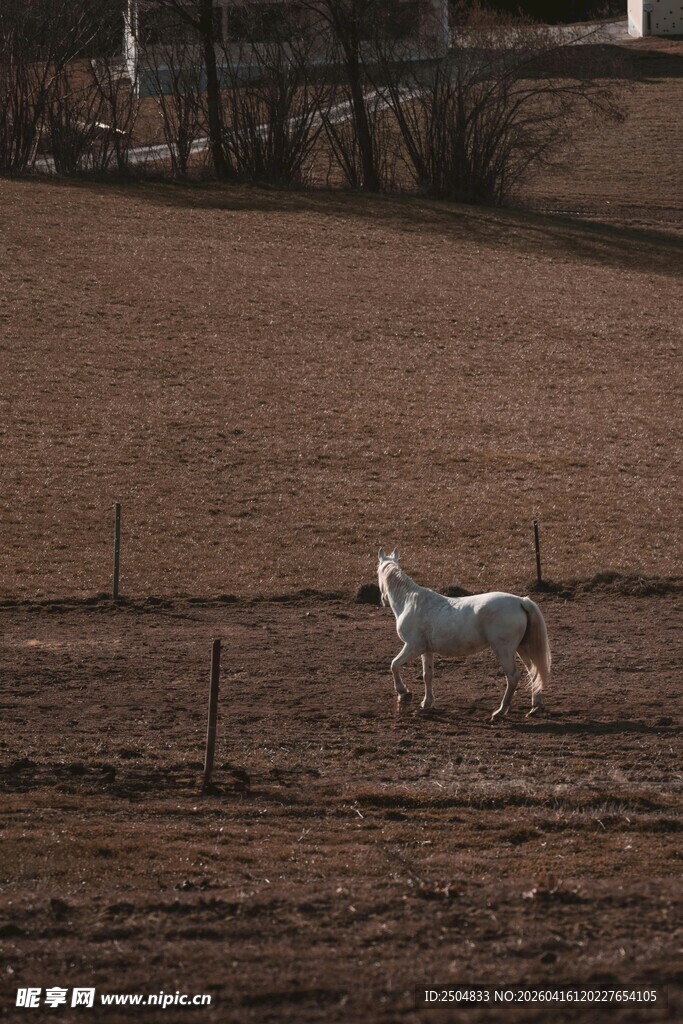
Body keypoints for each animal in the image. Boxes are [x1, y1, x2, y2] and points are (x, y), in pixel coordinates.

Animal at [377, 548, 551, 721]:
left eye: (377, 572)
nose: (383, 600)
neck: (410, 602)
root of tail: (521, 601)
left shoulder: (413, 647)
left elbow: (394, 665)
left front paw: (403, 693)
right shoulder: (426, 650)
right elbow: (428, 675)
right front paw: (427, 702)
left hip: (504, 650)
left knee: (513, 677)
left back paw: (500, 711)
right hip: (523, 648)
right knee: (534, 672)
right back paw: (535, 707)